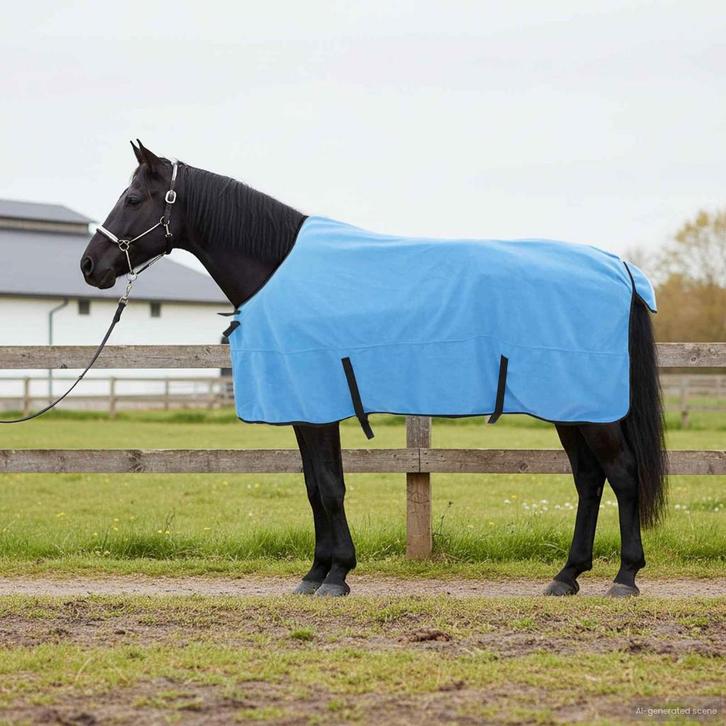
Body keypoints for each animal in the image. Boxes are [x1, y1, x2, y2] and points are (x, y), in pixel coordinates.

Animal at [80, 141, 667, 598]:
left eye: (133, 199)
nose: (90, 265)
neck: (279, 267)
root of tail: (618, 267)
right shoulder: (307, 409)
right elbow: (315, 486)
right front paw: (316, 572)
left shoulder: (317, 407)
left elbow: (329, 487)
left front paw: (336, 575)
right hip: (571, 406)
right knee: (589, 480)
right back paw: (567, 577)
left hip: (590, 409)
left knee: (622, 474)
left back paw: (624, 577)